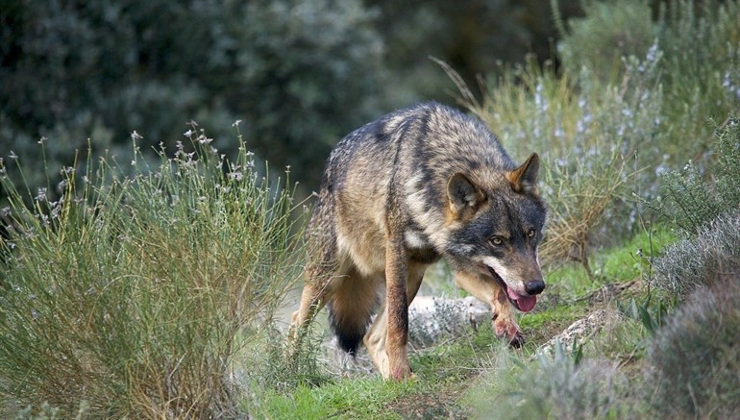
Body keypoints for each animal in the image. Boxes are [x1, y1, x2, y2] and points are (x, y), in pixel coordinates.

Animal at [286, 101, 548, 380]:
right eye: (497, 241)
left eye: (531, 234)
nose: (536, 287)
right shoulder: (397, 254)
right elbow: (399, 323)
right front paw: (401, 369)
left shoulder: (461, 267)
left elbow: (499, 293)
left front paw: (506, 326)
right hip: (329, 279)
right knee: (295, 323)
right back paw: (289, 375)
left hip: (413, 276)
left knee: (370, 337)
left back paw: (393, 380)